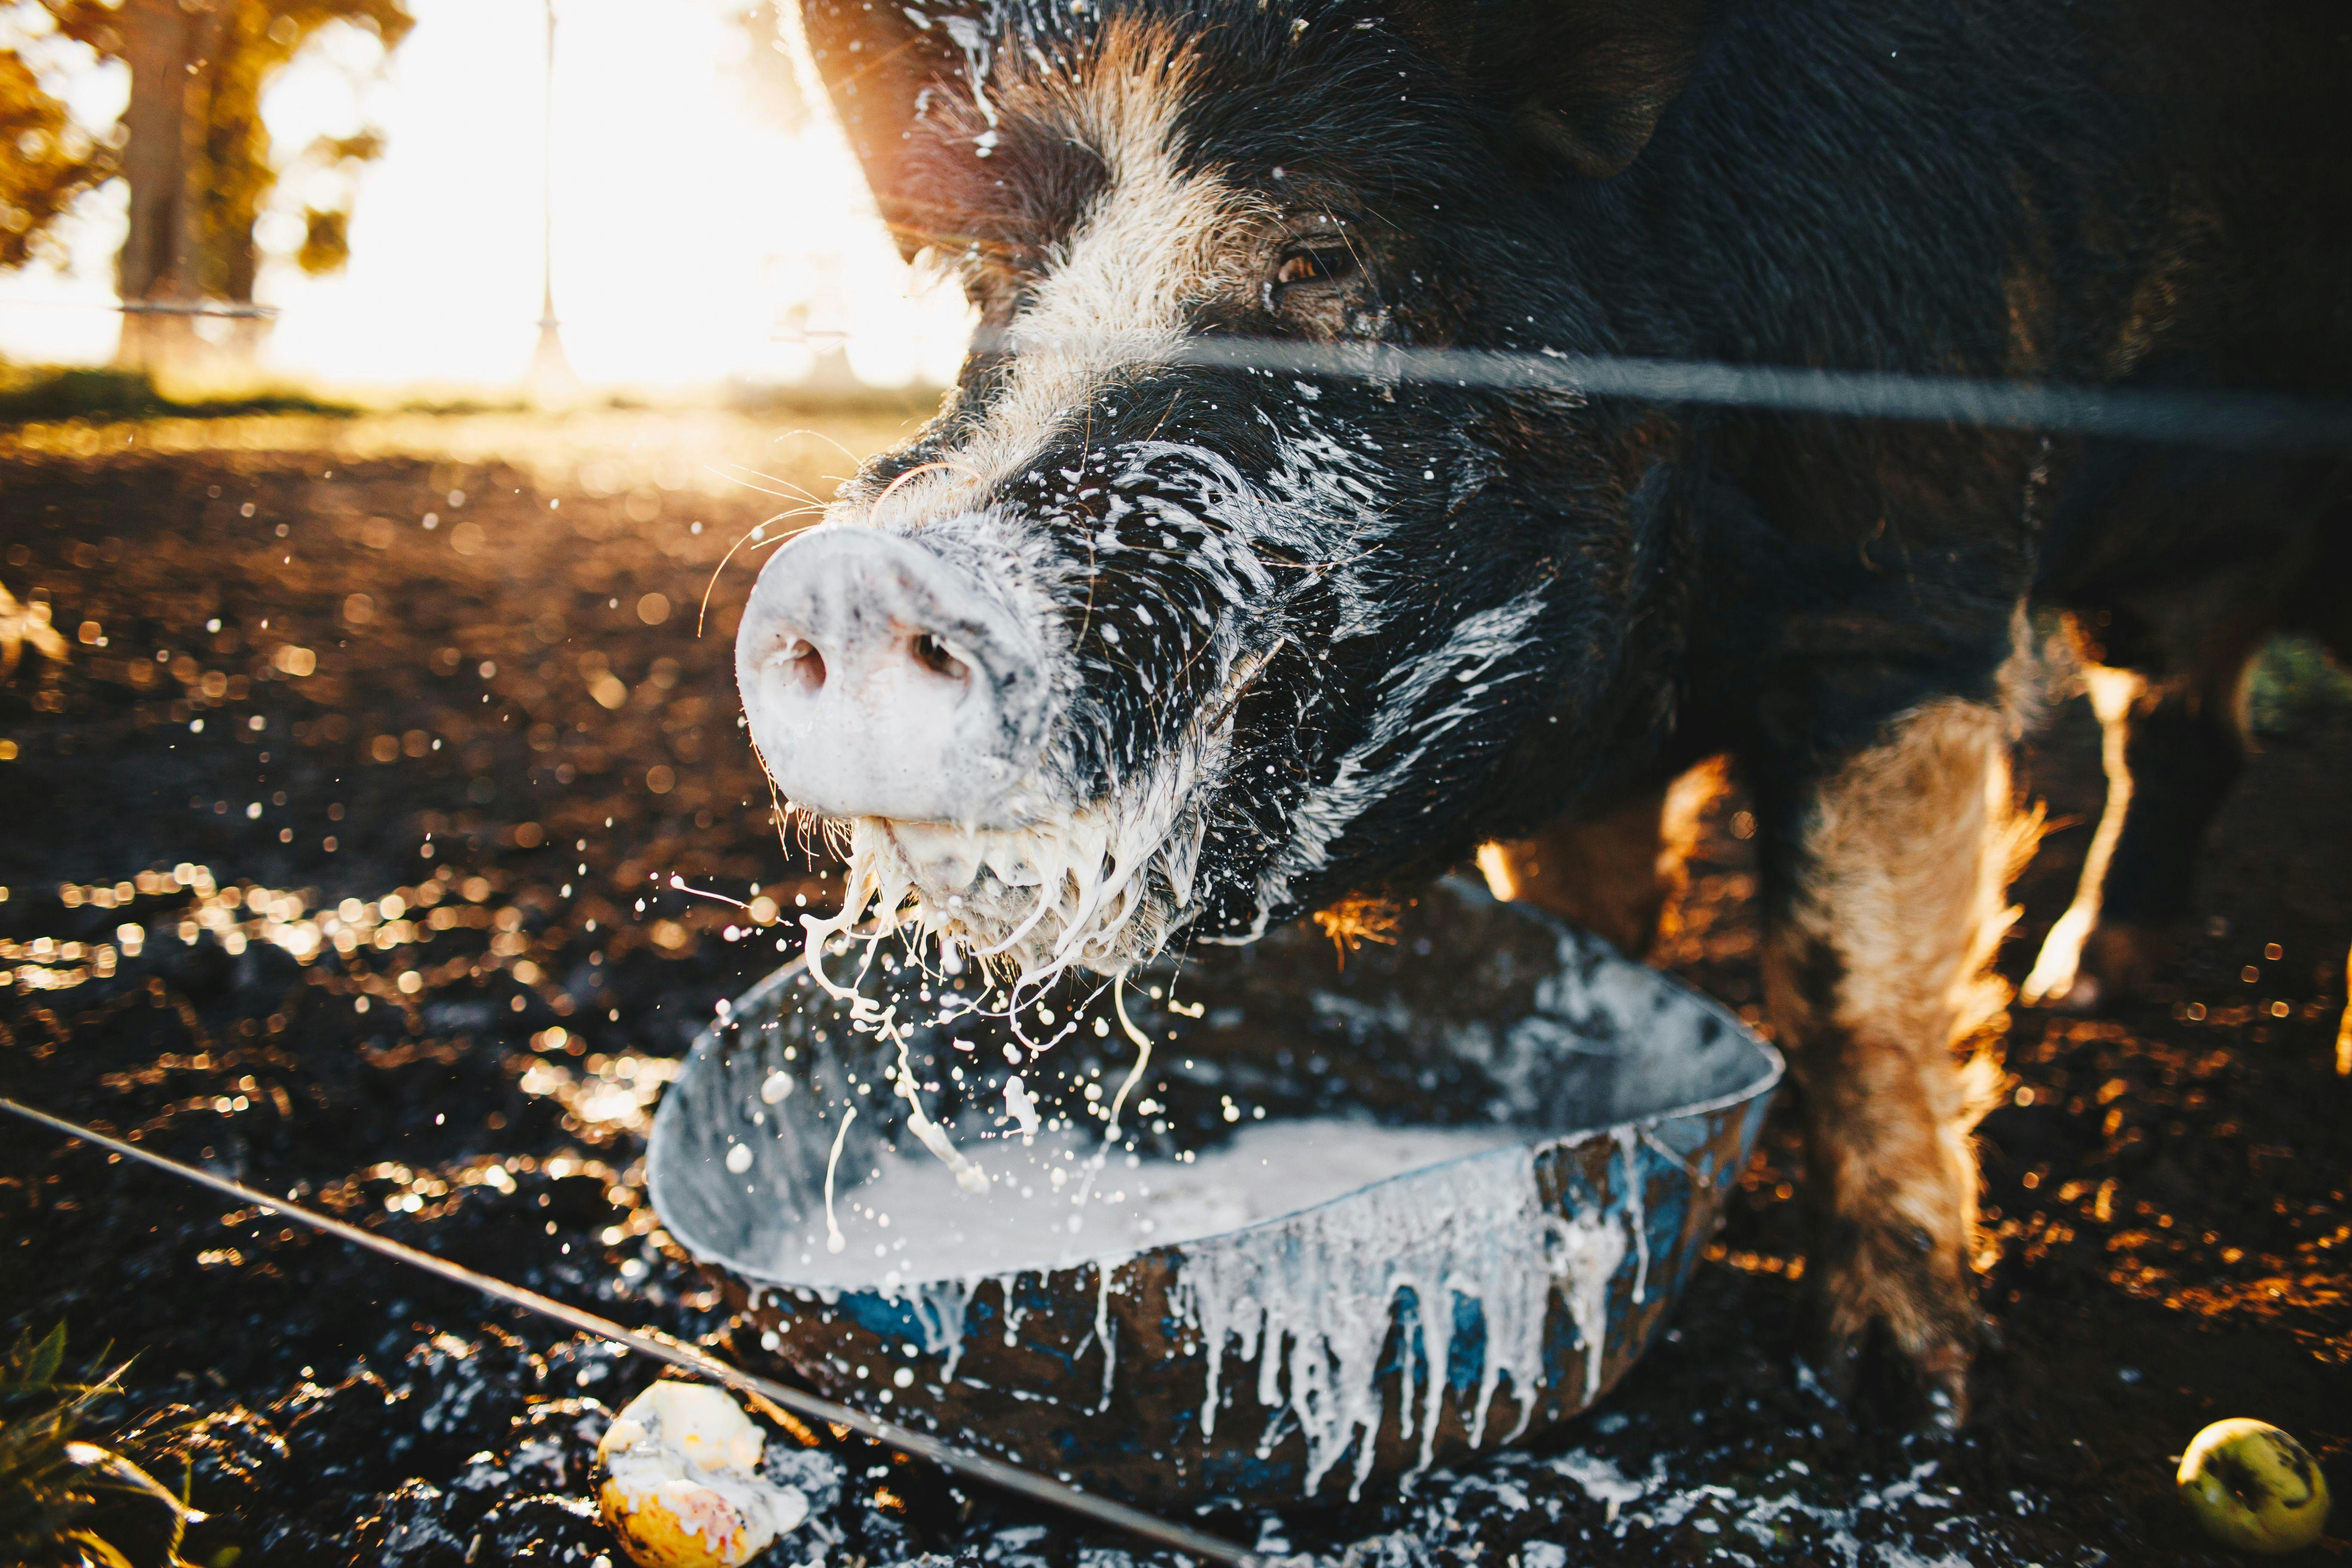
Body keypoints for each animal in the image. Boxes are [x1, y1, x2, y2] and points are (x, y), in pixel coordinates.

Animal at [734, 0, 2352, 1421]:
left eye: (1321, 252)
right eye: (994, 283)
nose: (848, 574)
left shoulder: (1907, 602)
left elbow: (1850, 981)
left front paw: (1897, 1395)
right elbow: (1588, 931)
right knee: (2183, 726)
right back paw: (2094, 983)